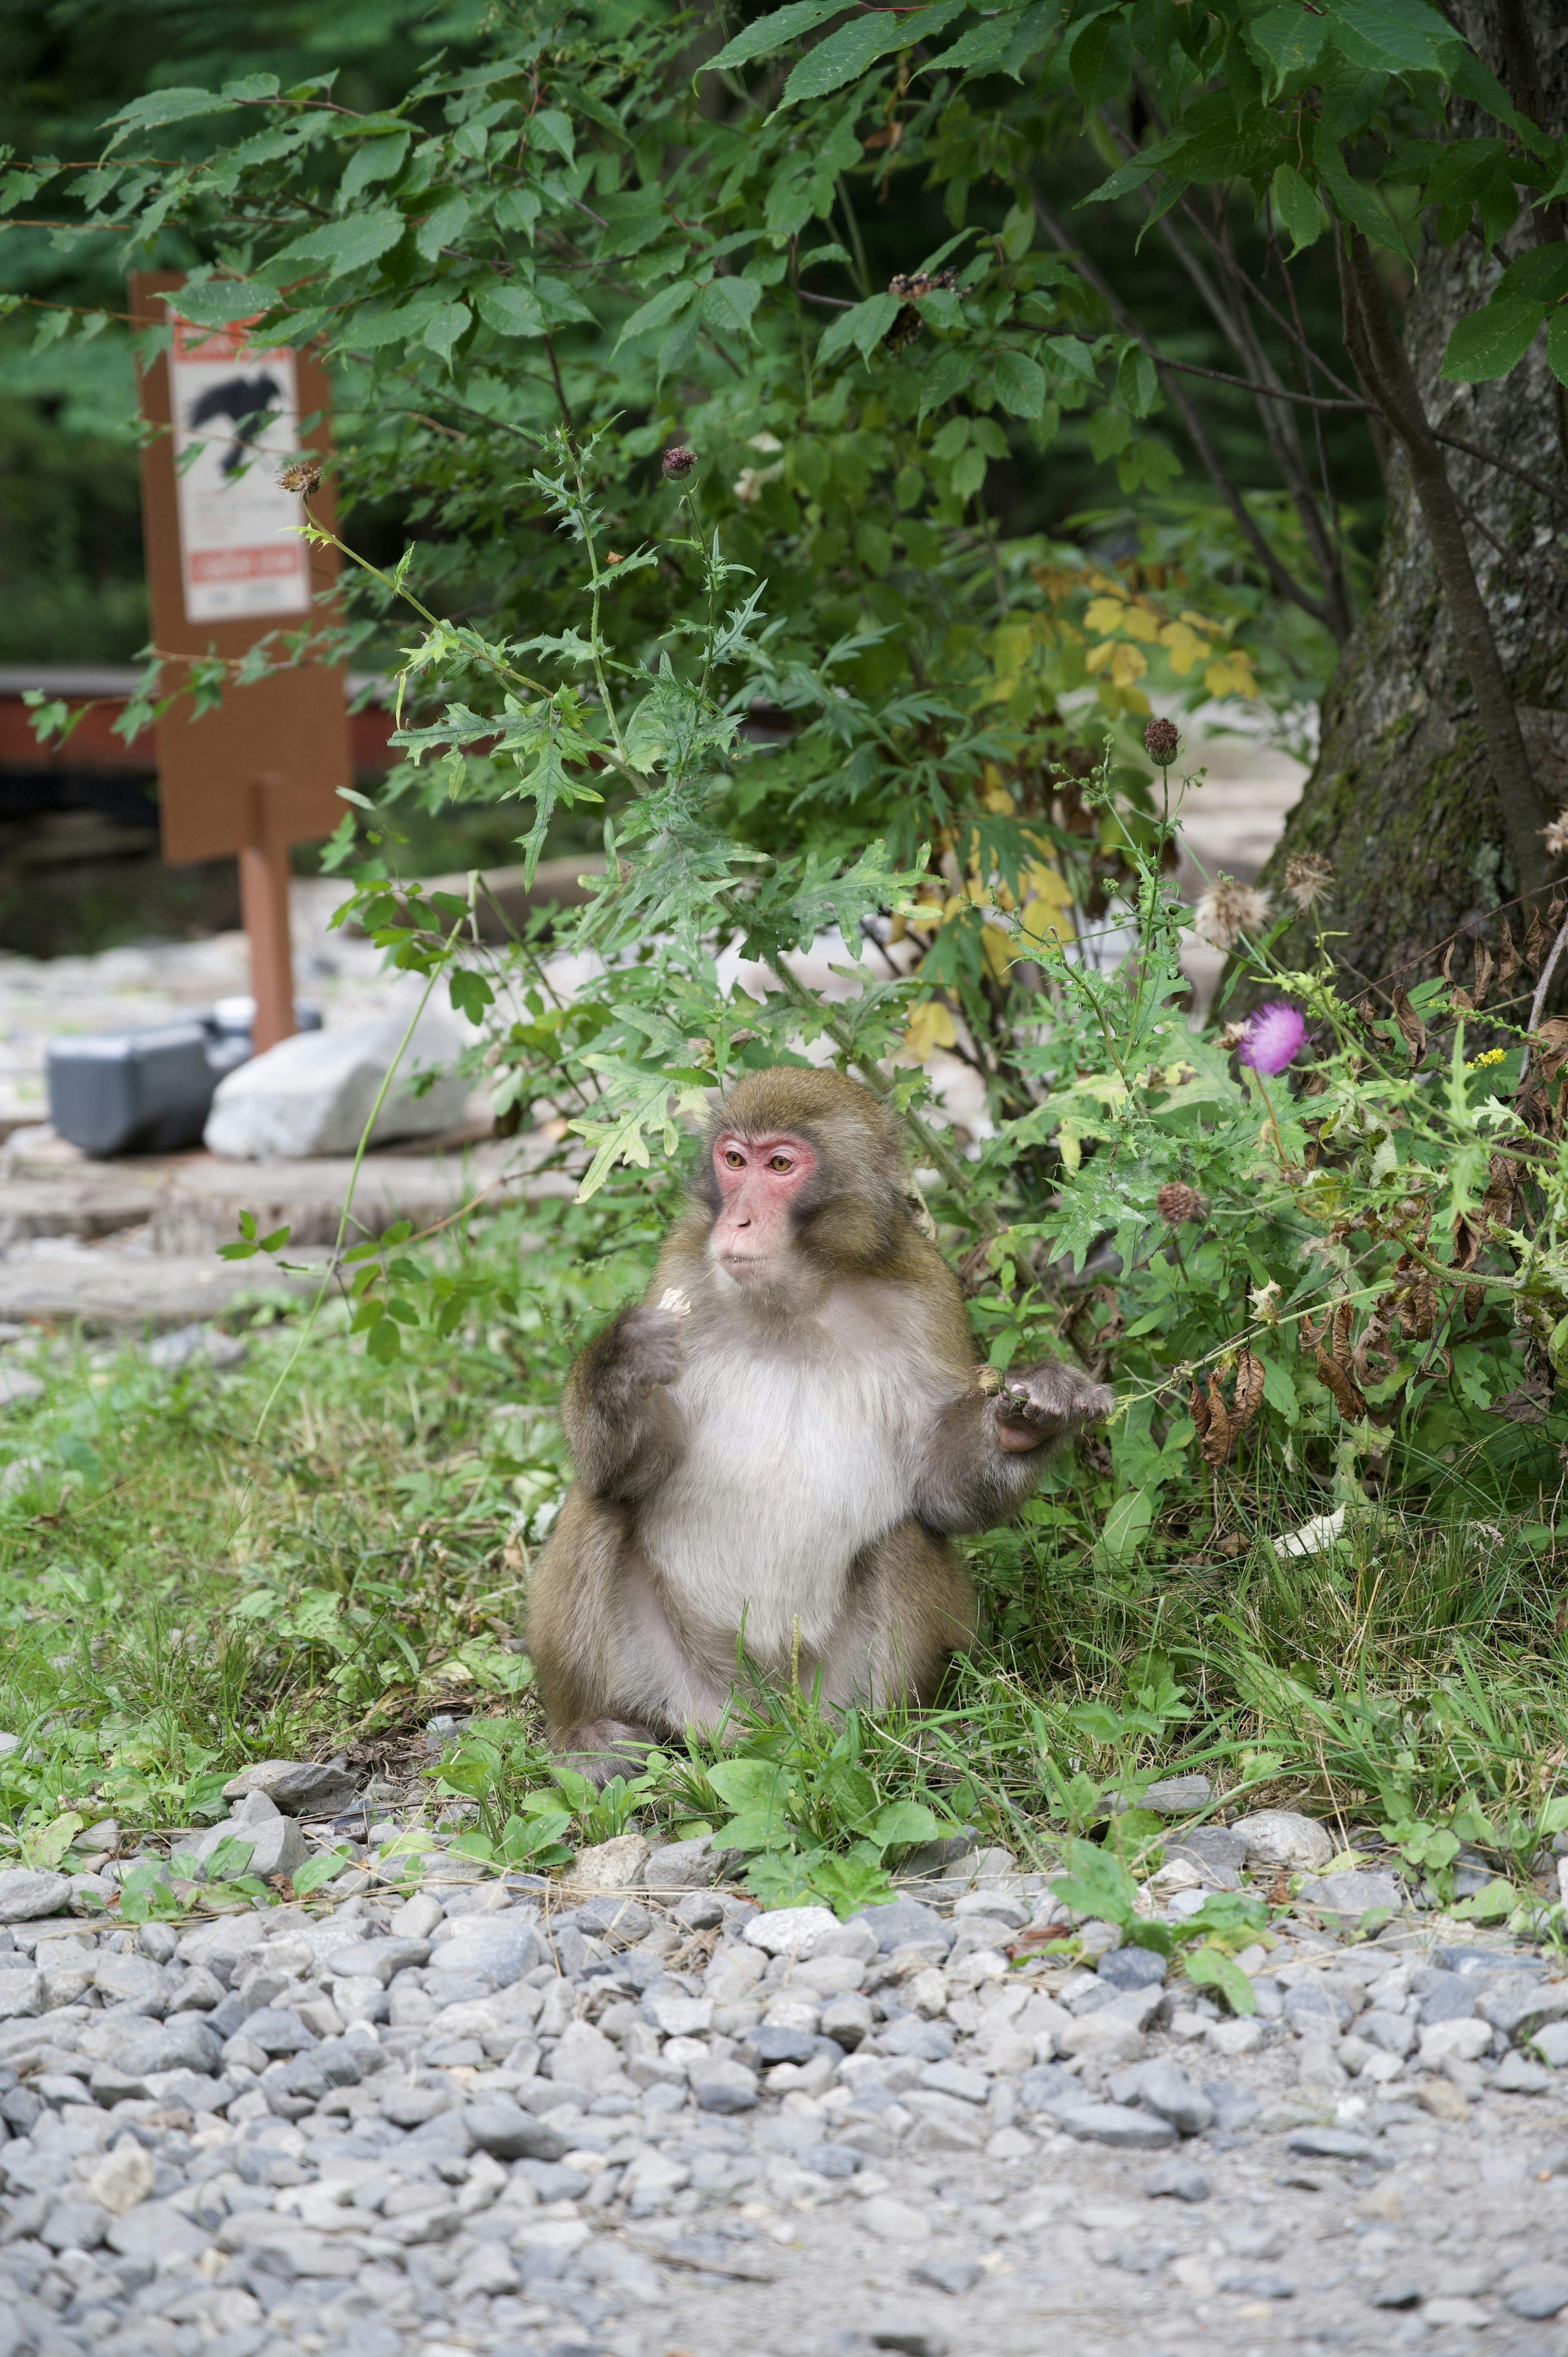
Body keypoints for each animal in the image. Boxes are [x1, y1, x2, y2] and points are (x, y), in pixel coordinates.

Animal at [528, 1060, 1113, 1772]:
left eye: (781, 1164)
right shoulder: (682, 1268)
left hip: (833, 1696)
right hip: (672, 1683)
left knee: (906, 1537)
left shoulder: (928, 1294)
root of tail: (760, 1723)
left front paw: (1026, 1423)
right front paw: (618, 1363)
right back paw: (587, 1733)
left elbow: (941, 1496)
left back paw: (898, 1737)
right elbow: (634, 1465)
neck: (799, 1296)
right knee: (600, 1503)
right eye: (733, 1160)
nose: (739, 1221)